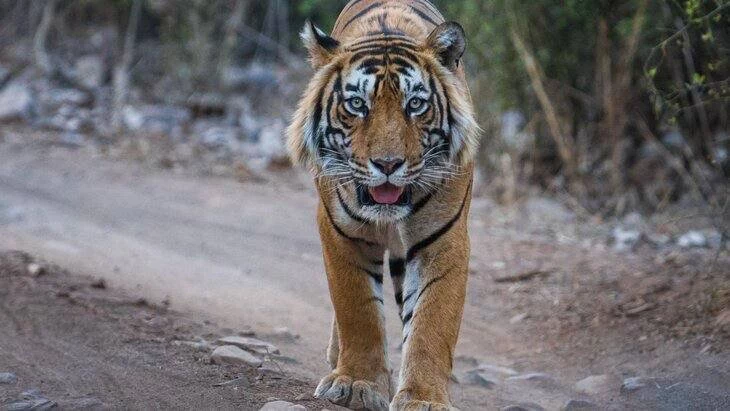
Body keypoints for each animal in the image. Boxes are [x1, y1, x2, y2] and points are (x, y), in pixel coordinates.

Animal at [284, 1, 478, 410]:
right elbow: (357, 309)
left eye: (415, 105)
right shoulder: (341, 230)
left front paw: (423, 398)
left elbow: (433, 321)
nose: (388, 165)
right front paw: (356, 384)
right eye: (357, 105)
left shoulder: (443, 238)